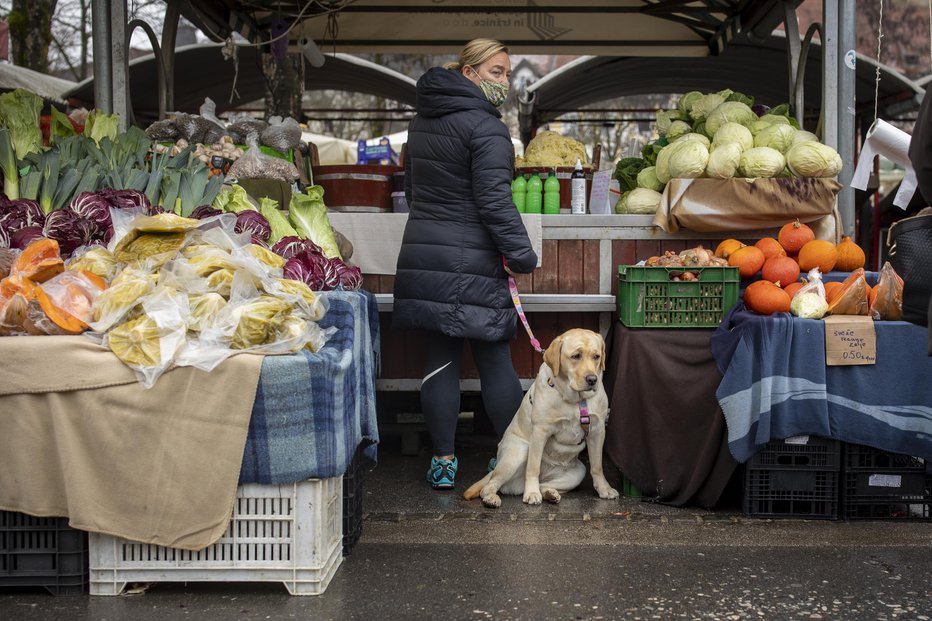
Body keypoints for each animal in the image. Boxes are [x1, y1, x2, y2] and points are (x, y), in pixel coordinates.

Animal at [464, 326, 620, 506]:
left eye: (596, 356)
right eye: (576, 356)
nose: (592, 379)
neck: (575, 400)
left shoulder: (597, 431)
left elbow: (597, 466)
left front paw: (604, 488)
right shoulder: (540, 431)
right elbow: (533, 467)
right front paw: (531, 493)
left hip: (578, 472)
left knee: (543, 484)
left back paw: (550, 493)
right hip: (518, 452)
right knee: (492, 483)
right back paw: (492, 497)